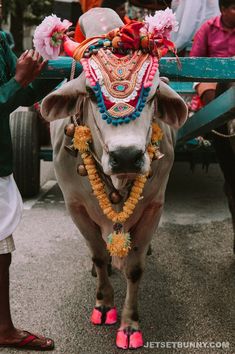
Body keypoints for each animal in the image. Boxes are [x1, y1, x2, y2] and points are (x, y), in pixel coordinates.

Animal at [40, 6, 187, 350]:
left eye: (151, 95)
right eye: (91, 95)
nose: (127, 156)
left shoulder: (154, 207)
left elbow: (134, 269)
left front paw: (129, 325)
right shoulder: (75, 206)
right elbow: (96, 254)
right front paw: (105, 304)